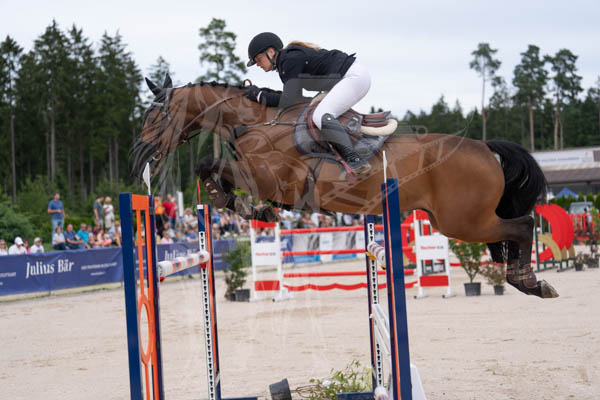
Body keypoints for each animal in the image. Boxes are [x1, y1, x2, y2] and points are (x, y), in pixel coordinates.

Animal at [131, 75, 558, 299]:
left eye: (154, 115)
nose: (139, 156)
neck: (257, 122)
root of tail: (485, 147)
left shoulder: (272, 178)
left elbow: (210, 165)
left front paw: (246, 204)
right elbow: (211, 169)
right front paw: (249, 207)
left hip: (463, 221)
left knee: (523, 225)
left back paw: (530, 282)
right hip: (458, 220)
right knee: (517, 227)